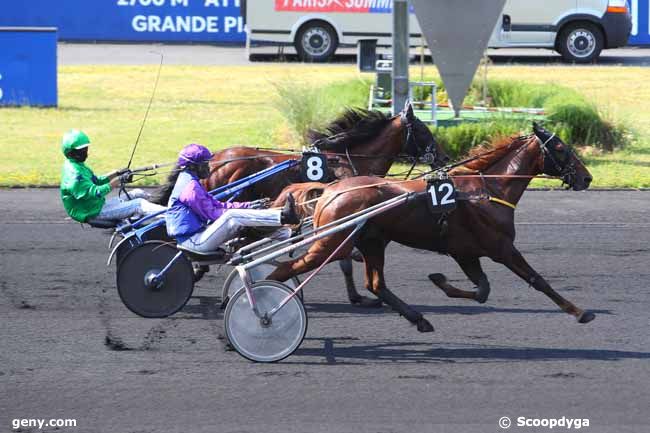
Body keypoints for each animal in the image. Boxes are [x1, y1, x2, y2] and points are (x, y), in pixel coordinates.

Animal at [266, 123, 596, 332]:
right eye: (560, 147)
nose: (587, 178)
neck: (487, 191)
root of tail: (330, 190)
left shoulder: (465, 253)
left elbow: (482, 291)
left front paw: (439, 281)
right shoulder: (501, 248)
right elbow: (538, 280)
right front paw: (579, 312)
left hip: (371, 242)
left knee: (376, 284)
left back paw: (419, 319)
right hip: (333, 243)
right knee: (285, 269)